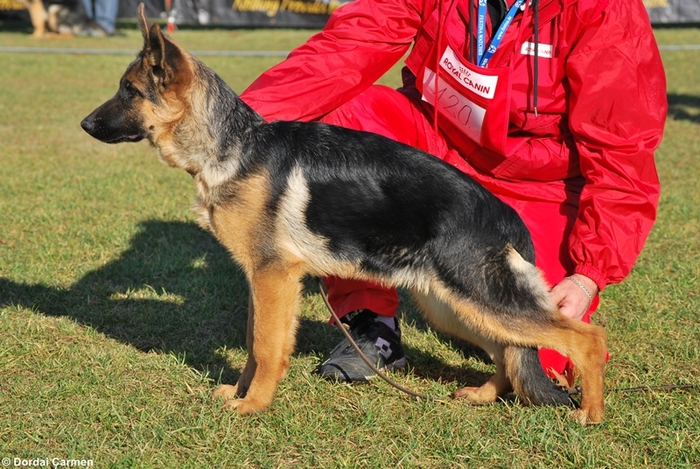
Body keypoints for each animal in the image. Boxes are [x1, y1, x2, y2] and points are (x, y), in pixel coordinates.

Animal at [80, 3, 608, 422]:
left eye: (129, 91)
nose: (84, 123)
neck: (233, 145)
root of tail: (503, 216)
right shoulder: (265, 281)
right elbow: (255, 342)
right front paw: (240, 392)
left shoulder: (273, 276)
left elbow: (266, 347)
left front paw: (254, 406)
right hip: (451, 304)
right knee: (506, 351)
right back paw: (482, 395)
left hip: (480, 298)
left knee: (586, 338)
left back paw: (590, 415)